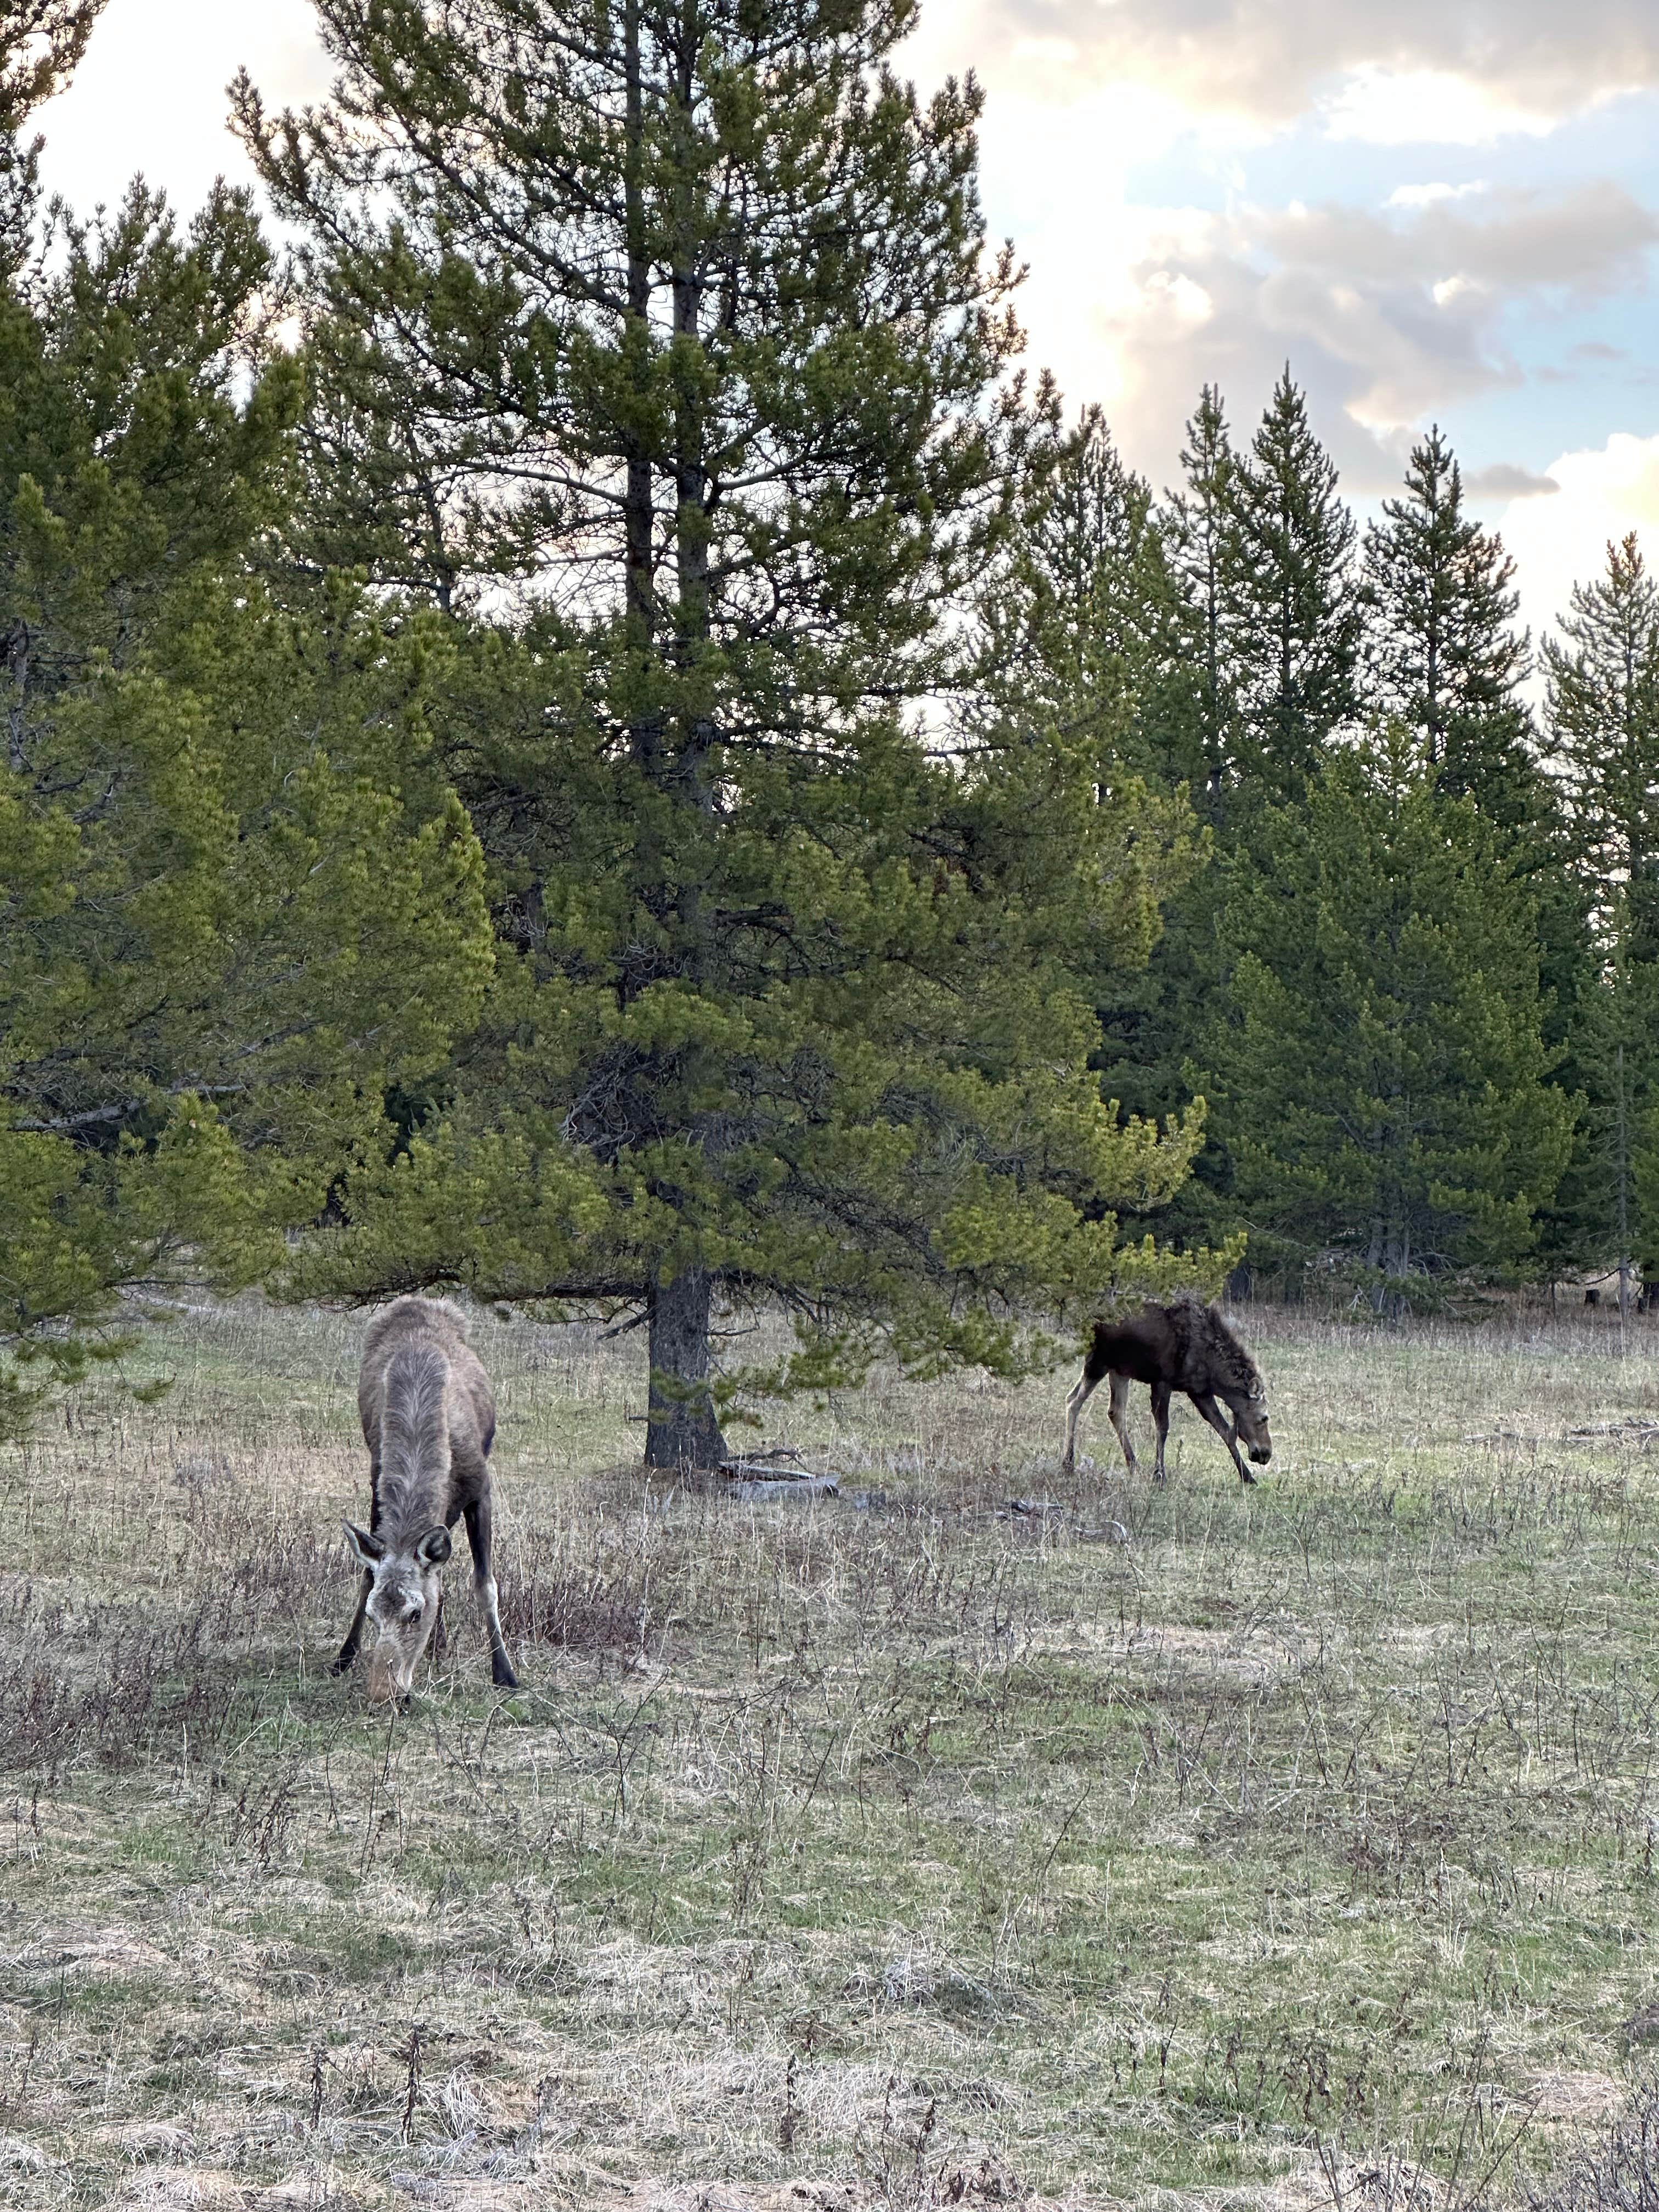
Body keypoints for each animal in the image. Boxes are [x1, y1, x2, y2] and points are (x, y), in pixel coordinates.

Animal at [334, 1291, 520, 1707]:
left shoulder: (481, 1490)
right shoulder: (376, 1484)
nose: (382, 1694)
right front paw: (344, 1655)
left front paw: (506, 1673)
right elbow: (368, 1574)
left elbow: (485, 1585)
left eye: (415, 1613)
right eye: (372, 1615)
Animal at [1066, 1291, 1274, 1486]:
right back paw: (1068, 1462)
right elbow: (1163, 1428)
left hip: (1120, 1370)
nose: (1266, 1453)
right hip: (1098, 1360)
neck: (1214, 1371)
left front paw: (1248, 1477)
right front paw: (1159, 1475)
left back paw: (1133, 1464)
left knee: (1114, 1411)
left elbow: (1225, 1431)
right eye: (1264, 1418)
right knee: (1073, 1401)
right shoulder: (1163, 1382)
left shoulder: (1200, 1391)